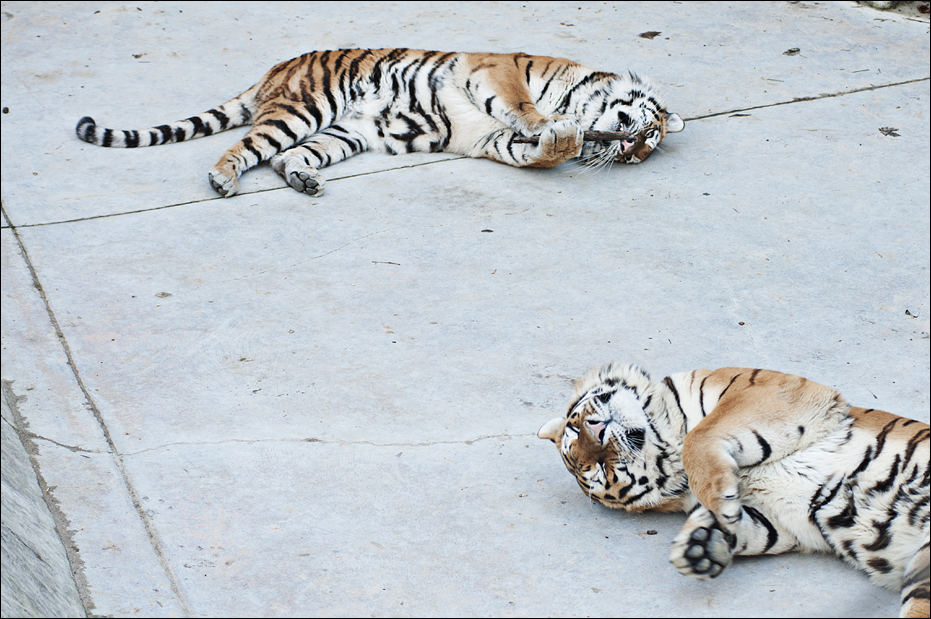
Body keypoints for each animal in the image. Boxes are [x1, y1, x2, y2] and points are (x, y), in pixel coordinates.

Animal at [538, 363, 930, 618]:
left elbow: (699, 436)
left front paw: (717, 504)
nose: (598, 429)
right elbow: (747, 527)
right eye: (602, 468)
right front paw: (700, 545)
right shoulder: (782, 522)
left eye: (577, 426)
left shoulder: (766, 389)